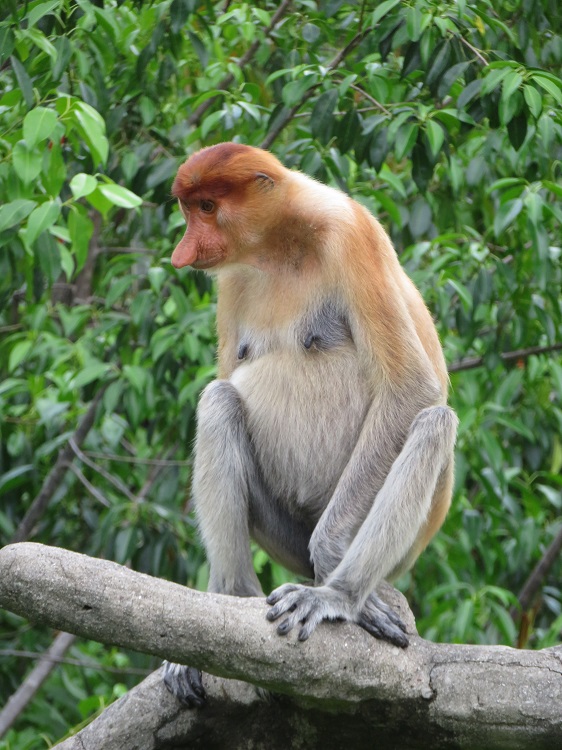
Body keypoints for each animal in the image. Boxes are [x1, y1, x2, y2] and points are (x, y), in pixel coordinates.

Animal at [163, 142, 458, 707]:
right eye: (190, 210)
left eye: (207, 207)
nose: (182, 253)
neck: (280, 239)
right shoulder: (230, 277)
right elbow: (228, 378)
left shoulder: (352, 236)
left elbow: (410, 388)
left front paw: (333, 580)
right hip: (283, 532)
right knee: (218, 400)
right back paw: (229, 599)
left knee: (434, 422)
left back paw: (339, 594)